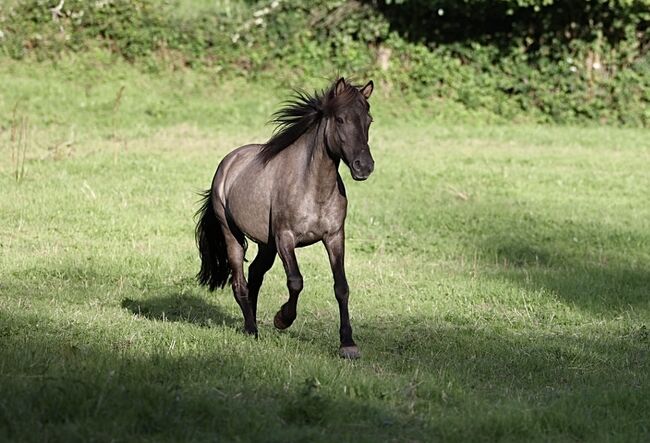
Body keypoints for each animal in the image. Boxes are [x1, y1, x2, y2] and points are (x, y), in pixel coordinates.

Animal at [195, 78, 372, 360]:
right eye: (340, 119)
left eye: (369, 120)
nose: (364, 166)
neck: (313, 187)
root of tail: (228, 162)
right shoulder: (285, 239)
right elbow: (296, 281)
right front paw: (282, 319)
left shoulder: (334, 237)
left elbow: (341, 287)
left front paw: (348, 344)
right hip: (232, 235)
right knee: (240, 282)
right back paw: (251, 330)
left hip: (266, 245)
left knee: (255, 274)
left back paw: (253, 324)